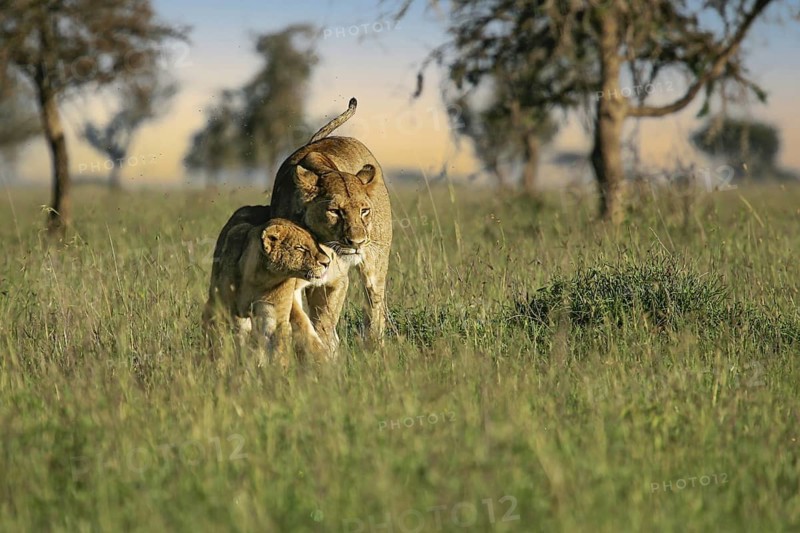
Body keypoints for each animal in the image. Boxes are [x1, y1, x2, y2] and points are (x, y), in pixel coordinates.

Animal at [202, 205, 333, 366]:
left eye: (315, 242)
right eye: (301, 248)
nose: (327, 262)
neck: (259, 278)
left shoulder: (273, 315)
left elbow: (276, 344)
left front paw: (276, 370)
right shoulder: (219, 310)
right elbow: (219, 344)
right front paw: (218, 366)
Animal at [270, 97, 393, 351]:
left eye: (364, 211)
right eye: (335, 211)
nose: (357, 242)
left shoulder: (337, 281)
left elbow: (325, 322)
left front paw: (326, 349)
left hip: (376, 262)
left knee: (375, 305)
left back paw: (375, 345)